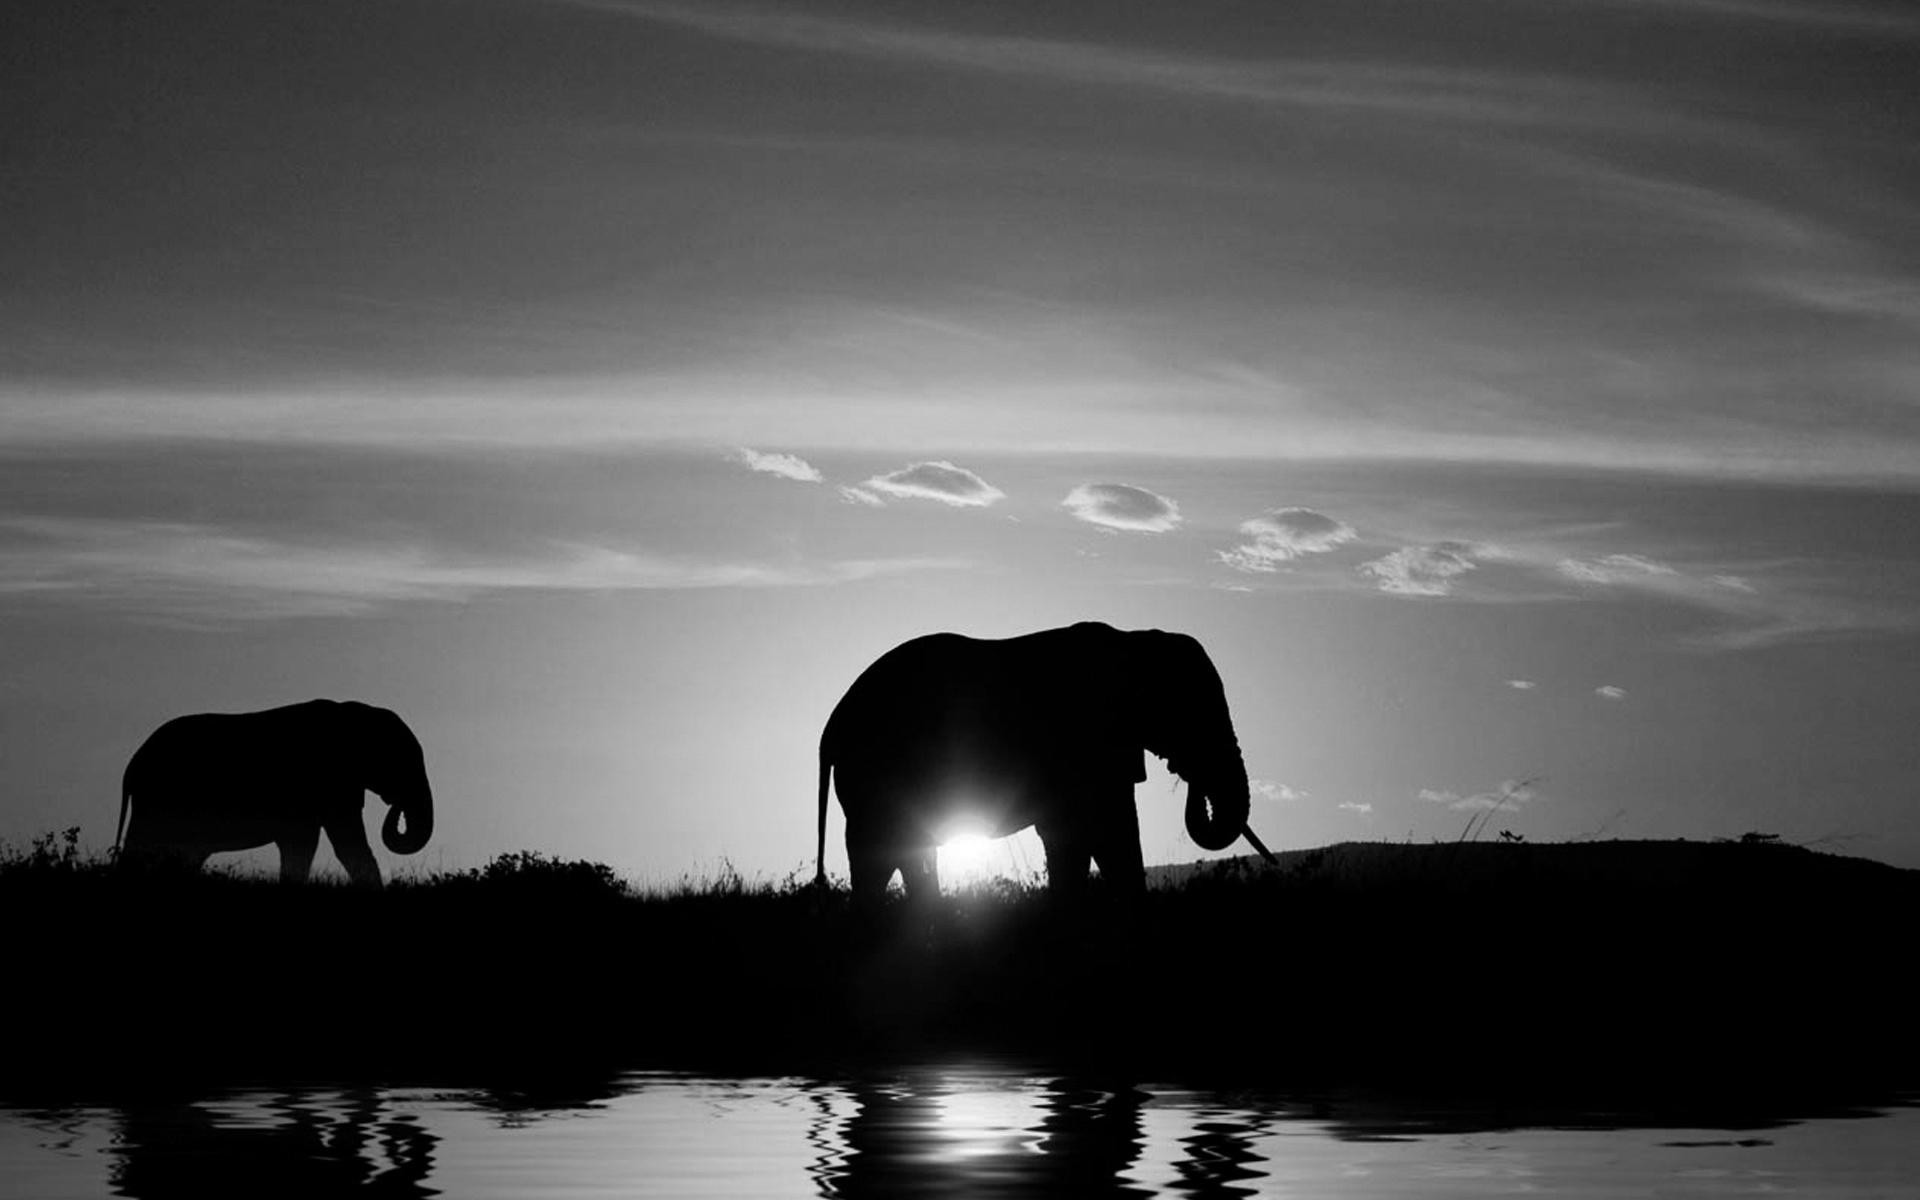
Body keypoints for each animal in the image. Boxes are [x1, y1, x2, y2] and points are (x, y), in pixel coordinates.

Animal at [115, 699, 434, 887]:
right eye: (400, 762)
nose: (396, 806)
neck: (354, 713)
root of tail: (131, 766)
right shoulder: (329, 783)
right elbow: (336, 844)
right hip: (158, 799)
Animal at [815, 621, 1264, 903]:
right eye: (1190, 712)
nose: (1187, 774)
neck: (1133, 641)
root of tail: (832, 724)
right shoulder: (1085, 743)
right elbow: (1103, 832)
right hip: (874, 774)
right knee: (879, 855)